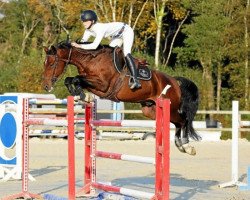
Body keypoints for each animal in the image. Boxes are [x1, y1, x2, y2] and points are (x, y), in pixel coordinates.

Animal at [42, 41, 200, 155]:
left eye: (51, 63)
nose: (46, 86)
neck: (92, 60)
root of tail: (175, 82)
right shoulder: (96, 86)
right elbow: (70, 80)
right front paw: (82, 95)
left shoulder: (103, 85)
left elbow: (76, 79)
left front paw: (82, 94)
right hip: (151, 110)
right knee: (176, 123)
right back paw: (181, 145)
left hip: (170, 108)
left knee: (183, 121)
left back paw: (187, 146)